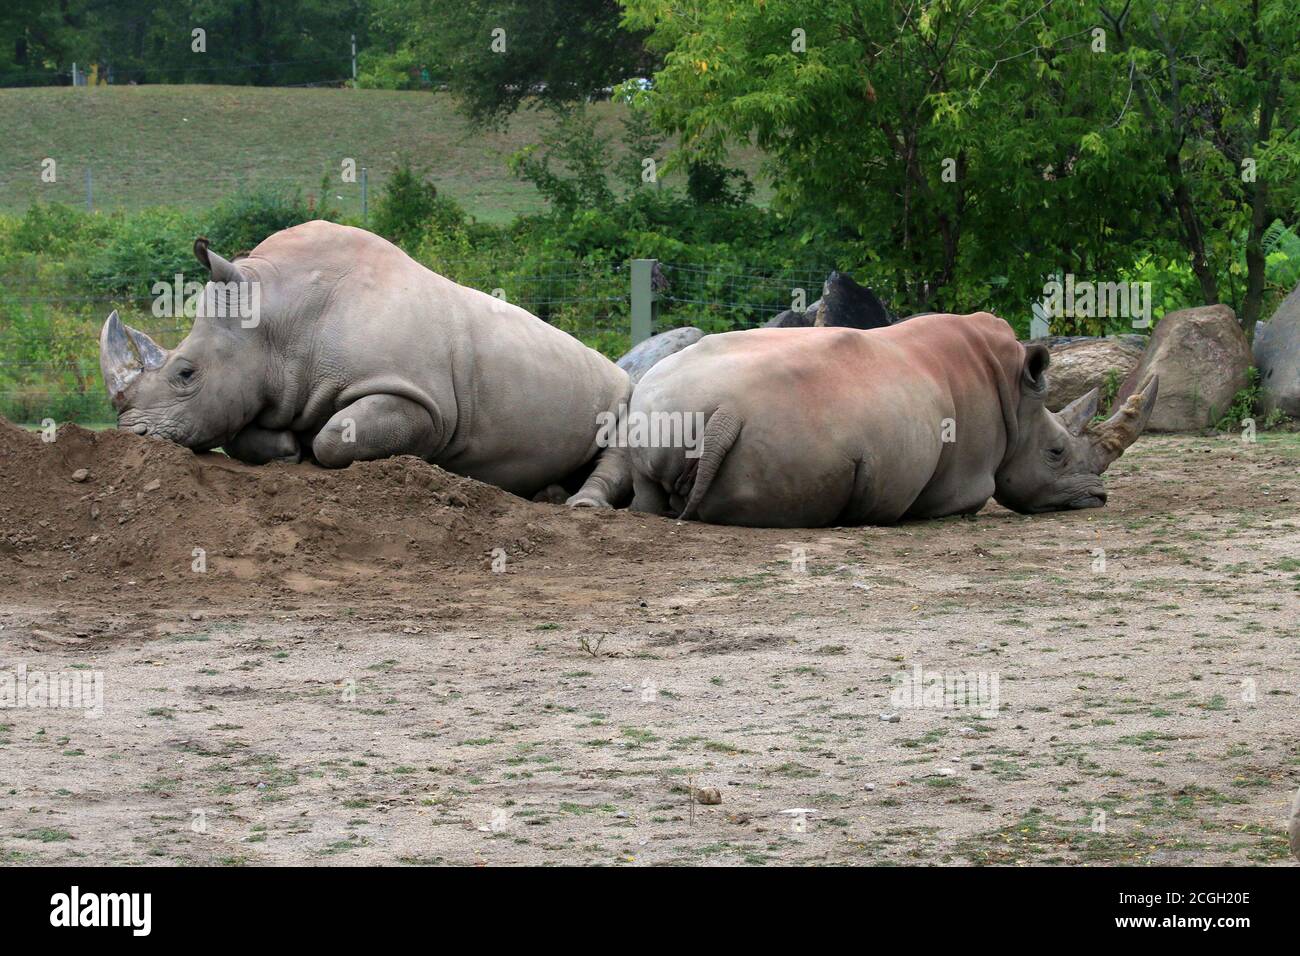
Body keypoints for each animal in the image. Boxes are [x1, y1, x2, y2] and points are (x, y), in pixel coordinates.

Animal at [94, 222, 629, 509]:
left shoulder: (421, 400)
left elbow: (336, 437)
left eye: (186, 374)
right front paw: (287, 449)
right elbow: (244, 432)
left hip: (621, 390)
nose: (130, 435)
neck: (279, 321)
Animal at [629, 312, 1159, 528]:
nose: (1097, 498)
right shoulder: (966, 483)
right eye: (1056, 453)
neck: (1017, 398)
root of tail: (728, 412)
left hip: (657, 403)